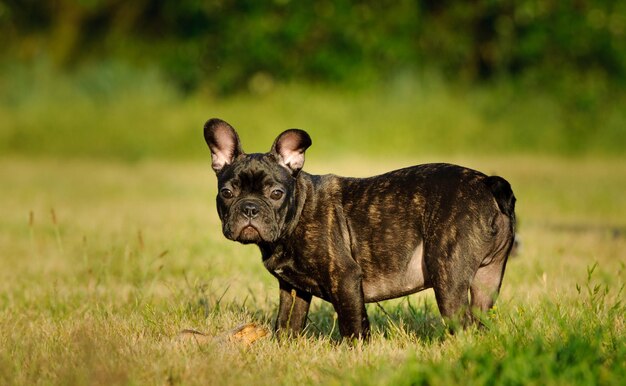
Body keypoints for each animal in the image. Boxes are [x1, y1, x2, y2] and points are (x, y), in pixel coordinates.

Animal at [202, 117, 516, 338]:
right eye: (227, 193)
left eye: (276, 193)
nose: (250, 208)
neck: (297, 212)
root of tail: (487, 182)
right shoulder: (292, 288)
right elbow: (287, 322)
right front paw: (281, 345)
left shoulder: (346, 278)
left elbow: (353, 324)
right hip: (488, 279)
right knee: (480, 318)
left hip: (447, 275)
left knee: (462, 323)